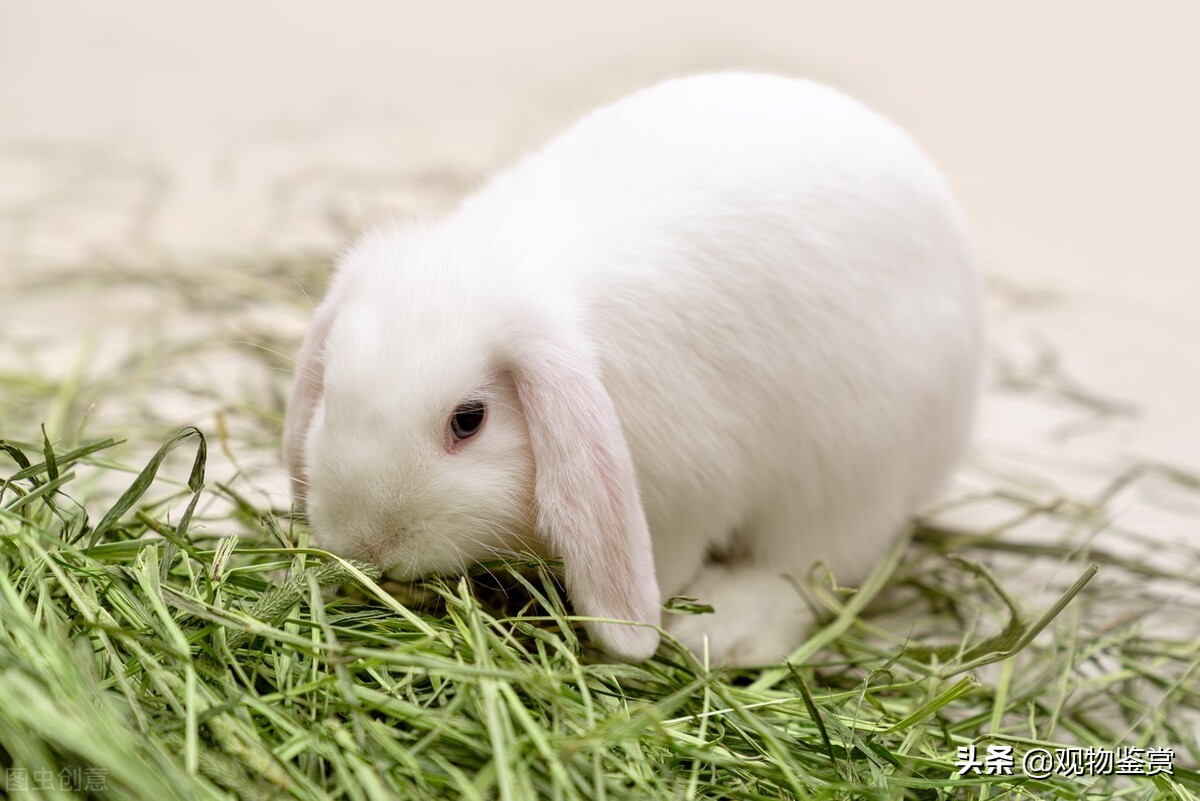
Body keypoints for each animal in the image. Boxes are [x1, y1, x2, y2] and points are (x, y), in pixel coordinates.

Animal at [285, 73, 979, 661]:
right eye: (331, 398)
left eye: (469, 420)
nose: (367, 547)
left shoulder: (685, 500)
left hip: (851, 478)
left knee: (809, 570)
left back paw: (724, 632)